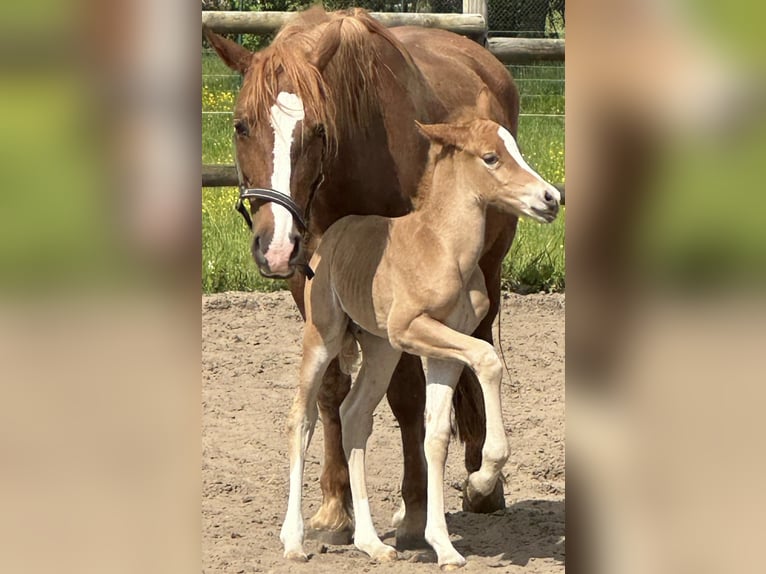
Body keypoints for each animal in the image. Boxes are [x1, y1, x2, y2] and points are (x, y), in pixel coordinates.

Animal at [204, 7, 525, 547]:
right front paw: (336, 507)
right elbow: (331, 388)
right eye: (240, 125)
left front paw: (415, 509)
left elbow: (407, 395)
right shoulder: (311, 288)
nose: (275, 247)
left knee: (478, 347)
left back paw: (483, 484)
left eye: (317, 130)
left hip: (487, 271)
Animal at [281, 93, 560, 567]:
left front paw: (444, 545)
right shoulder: (414, 330)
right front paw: (482, 478)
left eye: (517, 149)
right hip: (325, 336)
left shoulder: (438, 348)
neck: (444, 247)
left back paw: (372, 543)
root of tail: (331, 236)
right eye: (491, 157)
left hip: (380, 348)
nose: (551, 198)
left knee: (354, 414)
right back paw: (294, 540)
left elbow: (437, 436)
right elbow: (488, 359)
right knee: (303, 417)